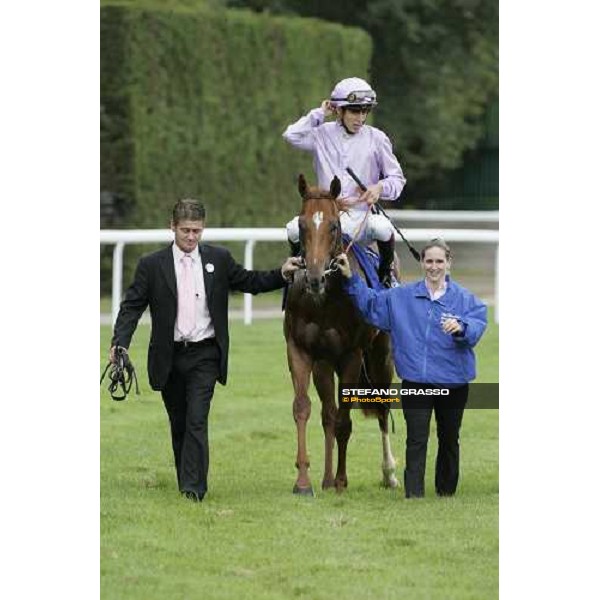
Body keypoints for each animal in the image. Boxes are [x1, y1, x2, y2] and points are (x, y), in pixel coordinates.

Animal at [284, 175, 398, 496]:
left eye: (333, 225)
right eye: (301, 225)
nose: (314, 277)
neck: (325, 299)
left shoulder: (351, 355)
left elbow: (345, 422)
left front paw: (341, 481)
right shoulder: (300, 350)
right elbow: (303, 408)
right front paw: (304, 481)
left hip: (380, 358)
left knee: (382, 409)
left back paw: (389, 473)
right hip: (325, 363)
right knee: (328, 414)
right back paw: (325, 478)